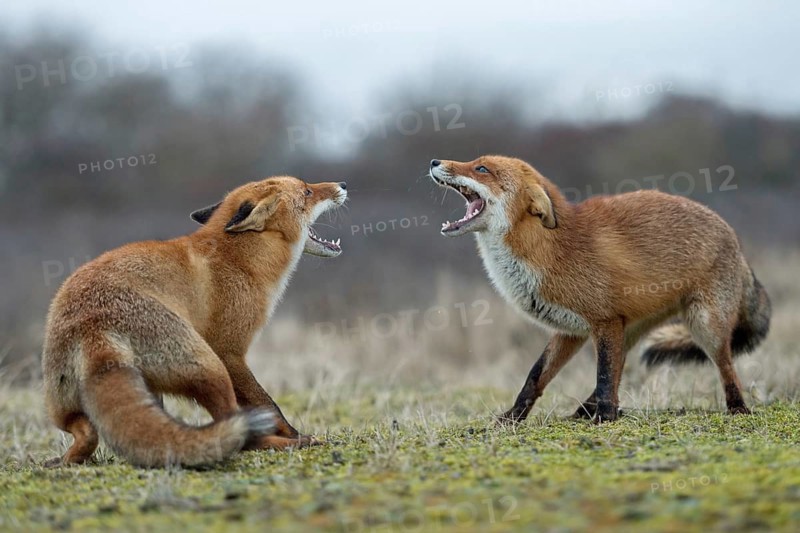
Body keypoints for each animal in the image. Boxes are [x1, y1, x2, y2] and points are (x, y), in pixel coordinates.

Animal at [42, 176, 348, 467]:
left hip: (65, 405)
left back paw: (66, 460)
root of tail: (92, 324)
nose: (342, 185)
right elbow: (269, 405)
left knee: (85, 432)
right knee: (236, 429)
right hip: (210, 366)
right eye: (307, 191)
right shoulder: (229, 352)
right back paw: (287, 443)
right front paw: (296, 434)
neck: (241, 260)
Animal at [428, 155, 770, 423]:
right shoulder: (571, 330)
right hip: (630, 329)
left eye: (481, 168)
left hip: (704, 325)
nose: (434, 162)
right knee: (620, 367)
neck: (548, 251)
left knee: (727, 366)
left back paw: (738, 408)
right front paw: (512, 418)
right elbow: (536, 377)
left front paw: (605, 418)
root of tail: (735, 240)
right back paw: (584, 411)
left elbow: (604, 375)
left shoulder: (603, 321)